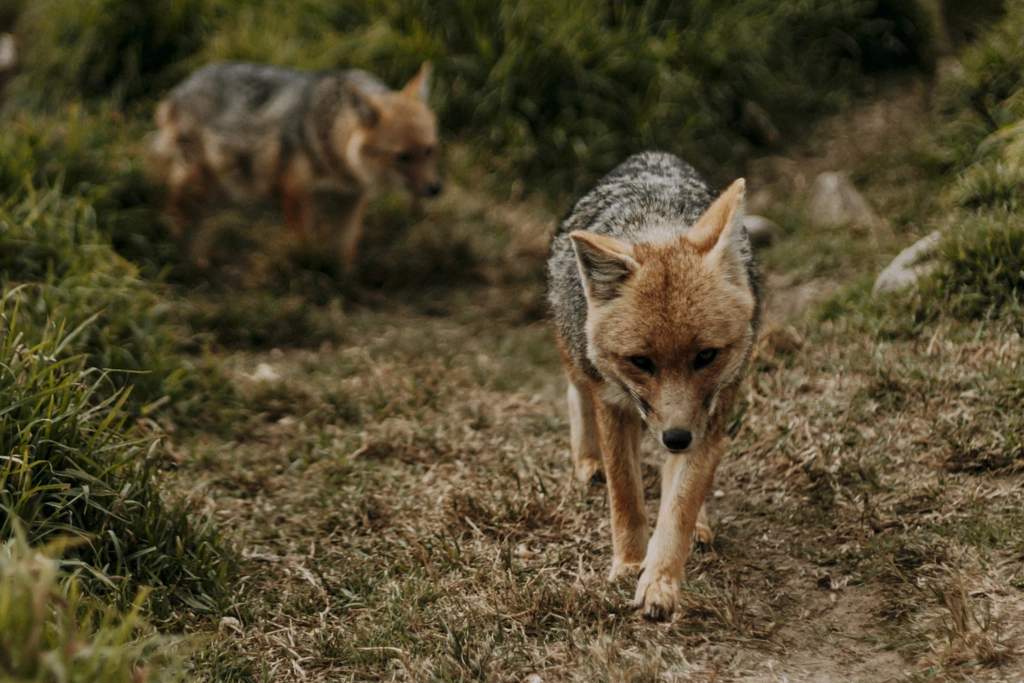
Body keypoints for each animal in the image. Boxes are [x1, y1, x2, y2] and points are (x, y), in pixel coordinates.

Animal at [147, 61, 440, 268]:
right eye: (403, 157)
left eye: (430, 150)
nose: (436, 189)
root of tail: (177, 90)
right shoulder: (295, 193)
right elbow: (303, 244)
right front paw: (307, 274)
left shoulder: (352, 197)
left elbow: (346, 250)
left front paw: (345, 285)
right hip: (199, 188)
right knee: (175, 215)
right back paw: (180, 261)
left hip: (217, 192)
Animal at [544, 152, 761, 622]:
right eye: (641, 362)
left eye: (706, 356)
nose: (677, 438)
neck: (656, 222)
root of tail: (652, 155)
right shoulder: (614, 406)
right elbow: (625, 495)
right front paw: (628, 563)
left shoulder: (710, 419)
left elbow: (678, 508)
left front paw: (659, 581)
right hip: (579, 365)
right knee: (575, 395)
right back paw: (588, 461)